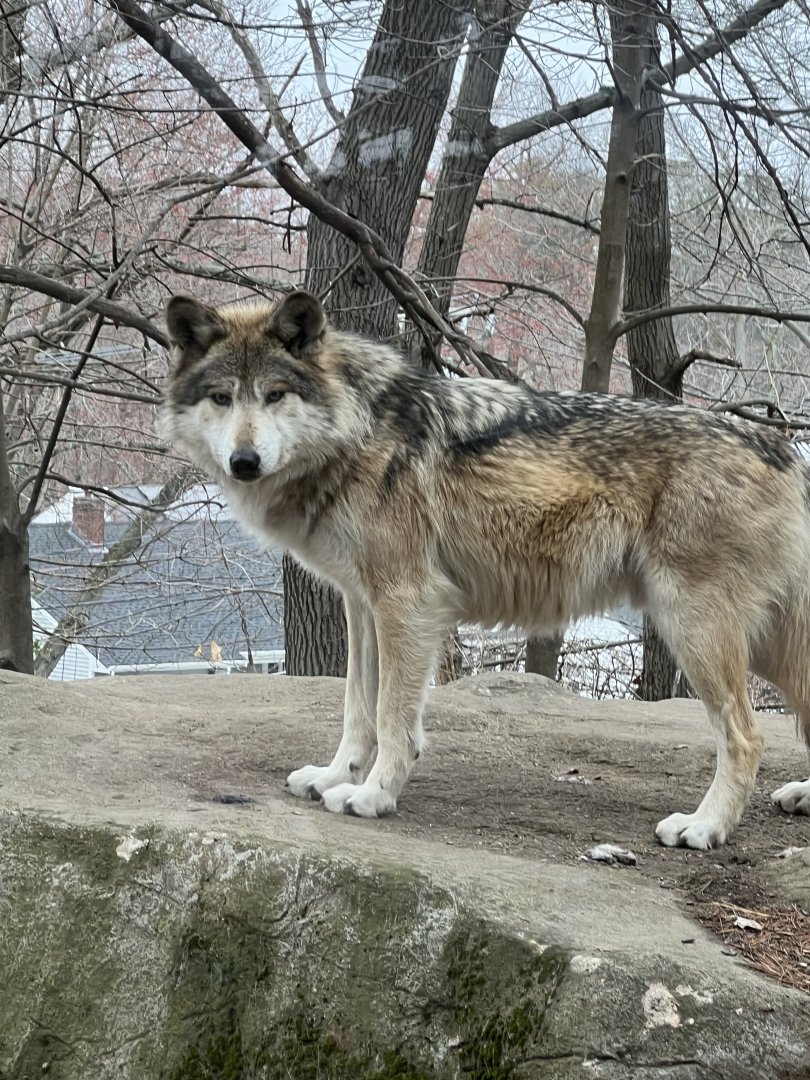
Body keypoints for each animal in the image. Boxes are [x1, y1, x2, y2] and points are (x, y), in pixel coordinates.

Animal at [163, 288, 810, 849]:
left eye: (274, 395)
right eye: (222, 398)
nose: (244, 461)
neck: (357, 432)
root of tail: (784, 449)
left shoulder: (407, 603)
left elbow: (392, 716)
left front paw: (372, 796)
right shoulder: (362, 604)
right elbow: (358, 709)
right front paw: (333, 777)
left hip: (694, 629)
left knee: (746, 736)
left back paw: (704, 827)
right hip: (756, 641)